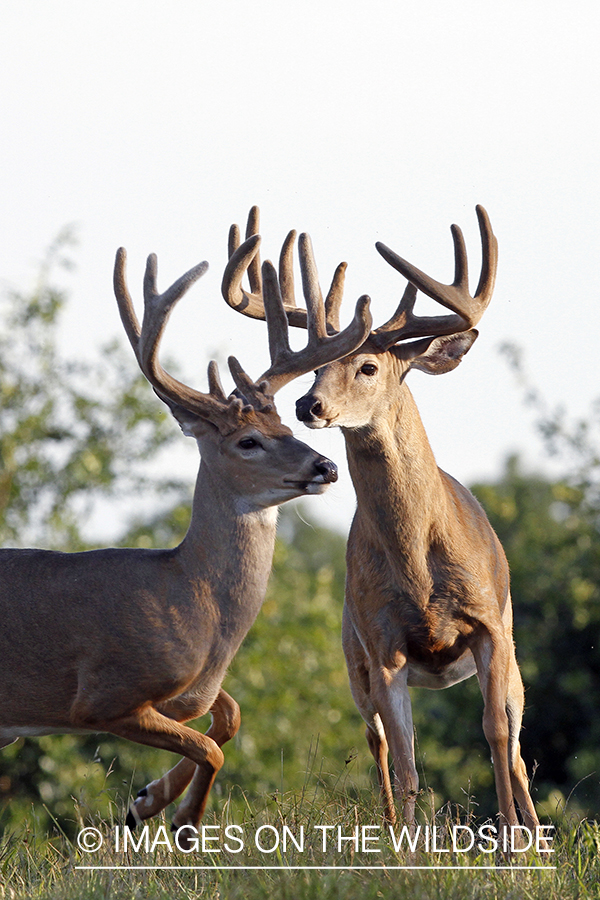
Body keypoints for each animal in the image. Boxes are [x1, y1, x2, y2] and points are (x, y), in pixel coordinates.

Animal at [0, 220, 370, 844]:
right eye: (248, 441)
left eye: (287, 423)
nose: (325, 466)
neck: (189, 596)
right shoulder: (102, 697)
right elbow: (210, 747)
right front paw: (179, 820)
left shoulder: (192, 691)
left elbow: (229, 717)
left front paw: (150, 800)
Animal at [225, 207, 544, 840]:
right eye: (317, 369)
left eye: (369, 366)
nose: (307, 405)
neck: (420, 565)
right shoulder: (383, 641)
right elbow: (406, 762)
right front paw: (411, 849)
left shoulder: (490, 627)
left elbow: (496, 736)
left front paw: (512, 850)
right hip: (355, 661)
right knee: (377, 747)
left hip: (513, 651)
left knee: (518, 748)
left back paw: (537, 842)